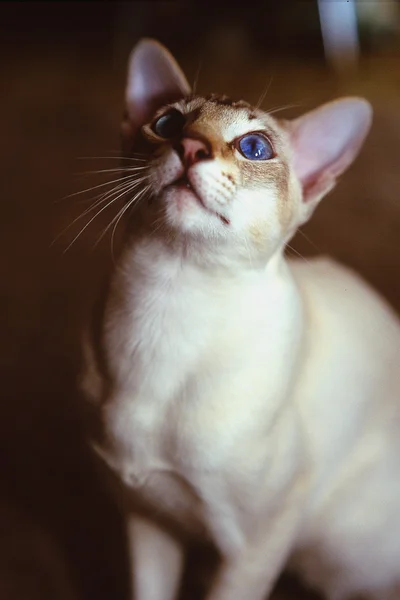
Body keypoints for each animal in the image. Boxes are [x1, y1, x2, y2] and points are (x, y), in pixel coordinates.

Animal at [80, 38, 400, 600]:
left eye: (253, 148)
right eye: (166, 124)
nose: (190, 148)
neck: (171, 304)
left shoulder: (255, 545)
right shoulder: (147, 518)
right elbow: (148, 589)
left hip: (335, 549)